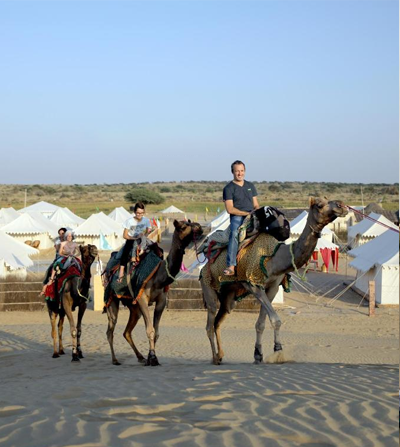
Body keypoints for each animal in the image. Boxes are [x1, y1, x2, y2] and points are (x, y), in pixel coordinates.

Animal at [106, 219, 203, 366]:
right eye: (183, 226)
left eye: (191, 223)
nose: (200, 227)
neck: (159, 276)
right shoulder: (142, 299)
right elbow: (150, 330)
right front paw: (152, 358)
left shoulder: (161, 300)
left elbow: (156, 332)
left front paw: (150, 357)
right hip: (112, 300)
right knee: (110, 330)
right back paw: (115, 359)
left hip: (133, 307)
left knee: (126, 331)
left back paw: (140, 357)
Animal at [200, 197, 348, 365]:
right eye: (320, 205)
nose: (342, 205)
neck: (275, 257)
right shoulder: (253, 284)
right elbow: (275, 319)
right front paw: (278, 352)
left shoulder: (273, 287)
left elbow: (261, 323)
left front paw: (259, 354)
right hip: (208, 285)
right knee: (210, 322)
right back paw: (214, 358)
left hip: (229, 296)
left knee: (218, 321)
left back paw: (220, 355)